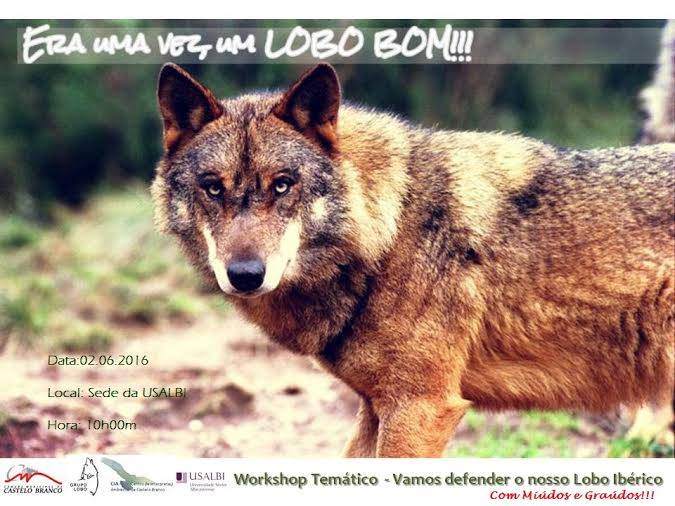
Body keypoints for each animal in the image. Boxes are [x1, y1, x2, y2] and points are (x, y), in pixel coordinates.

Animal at [151, 62, 675, 457]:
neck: (387, 231)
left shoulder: (422, 407)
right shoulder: (376, 408)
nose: (244, 276)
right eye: (212, 188)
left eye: (282, 184)